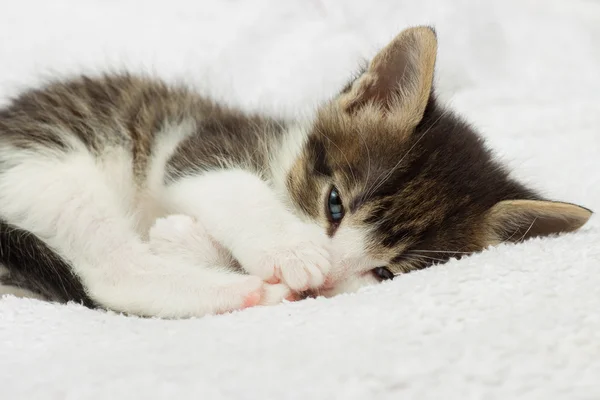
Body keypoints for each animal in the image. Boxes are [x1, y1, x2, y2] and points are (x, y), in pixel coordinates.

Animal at [0, 26, 592, 318]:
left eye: (385, 274)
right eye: (334, 205)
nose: (326, 277)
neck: (281, 153)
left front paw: (187, 239)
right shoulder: (201, 142)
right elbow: (228, 186)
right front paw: (293, 253)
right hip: (46, 161)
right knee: (109, 268)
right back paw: (247, 293)